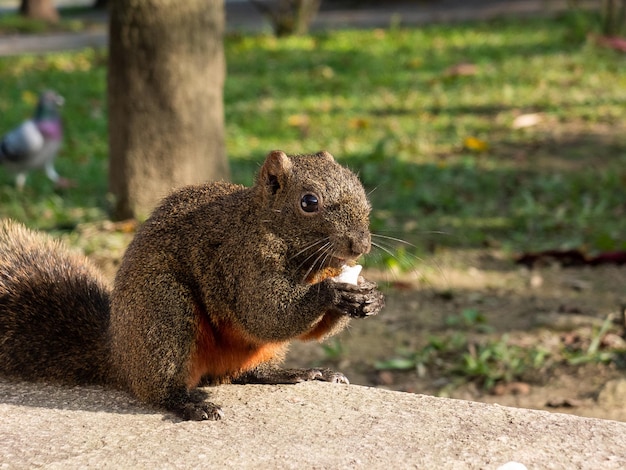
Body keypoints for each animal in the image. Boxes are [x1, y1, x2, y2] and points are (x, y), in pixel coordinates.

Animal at [0, 151, 380, 422]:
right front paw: (334, 293)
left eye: (360, 190)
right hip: (163, 309)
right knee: (159, 388)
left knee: (250, 372)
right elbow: (266, 315)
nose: (360, 245)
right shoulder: (242, 261)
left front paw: (370, 297)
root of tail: (119, 355)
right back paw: (189, 404)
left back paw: (298, 373)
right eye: (309, 202)